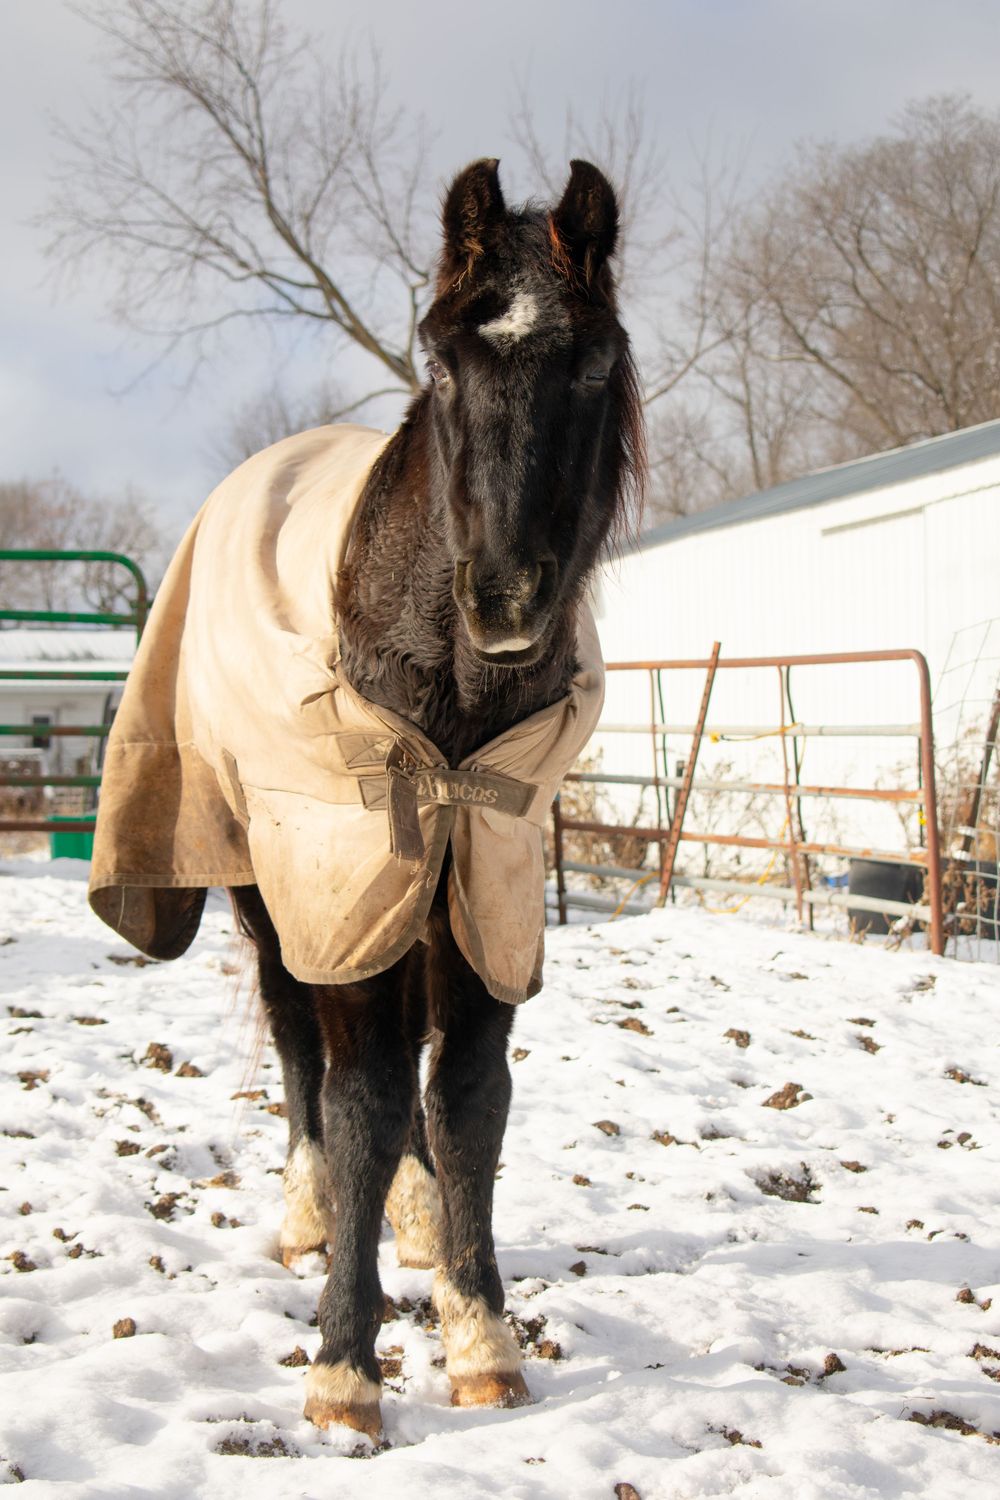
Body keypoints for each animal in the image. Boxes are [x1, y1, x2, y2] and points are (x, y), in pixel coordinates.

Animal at [90, 155, 643, 1442]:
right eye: (438, 361)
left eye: (594, 363)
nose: (504, 601)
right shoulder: (341, 874)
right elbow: (366, 1094)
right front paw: (345, 1366)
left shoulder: (487, 883)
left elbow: (468, 1102)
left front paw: (480, 1335)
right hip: (269, 884)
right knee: (303, 1042)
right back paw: (310, 1213)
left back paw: (418, 1221)